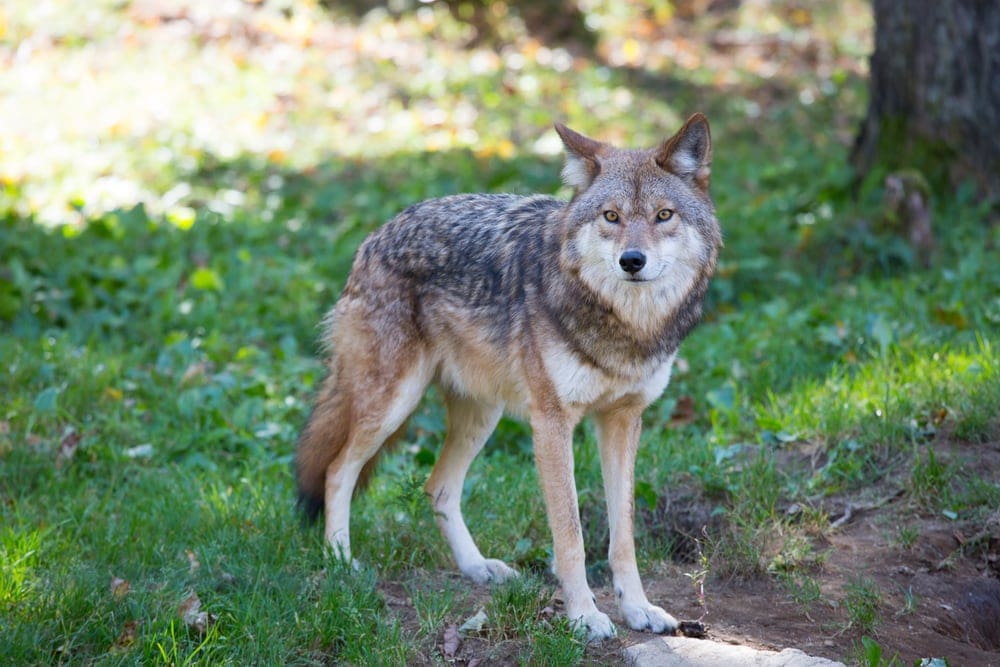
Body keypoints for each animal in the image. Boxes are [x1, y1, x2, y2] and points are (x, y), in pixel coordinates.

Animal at [295, 114, 721, 639]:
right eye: (611, 217)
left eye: (663, 215)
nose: (632, 261)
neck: (626, 327)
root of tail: (375, 236)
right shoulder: (552, 423)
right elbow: (571, 535)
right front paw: (585, 617)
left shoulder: (624, 420)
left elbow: (623, 536)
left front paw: (638, 609)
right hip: (393, 403)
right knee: (338, 470)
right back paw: (341, 561)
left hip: (482, 415)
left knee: (437, 487)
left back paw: (478, 567)